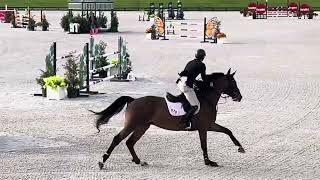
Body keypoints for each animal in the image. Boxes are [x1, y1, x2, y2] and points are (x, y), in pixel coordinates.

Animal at [91, 69, 244, 169]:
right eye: (233, 82)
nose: (239, 97)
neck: (207, 99)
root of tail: (133, 100)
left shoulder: (210, 125)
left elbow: (228, 131)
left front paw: (240, 147)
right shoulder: (204, 127)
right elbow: (204, 144)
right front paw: (209, 162)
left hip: (143, 126)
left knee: (130, 142)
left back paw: (139, 161)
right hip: (133, 125)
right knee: (118, 138)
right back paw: (102, 161)